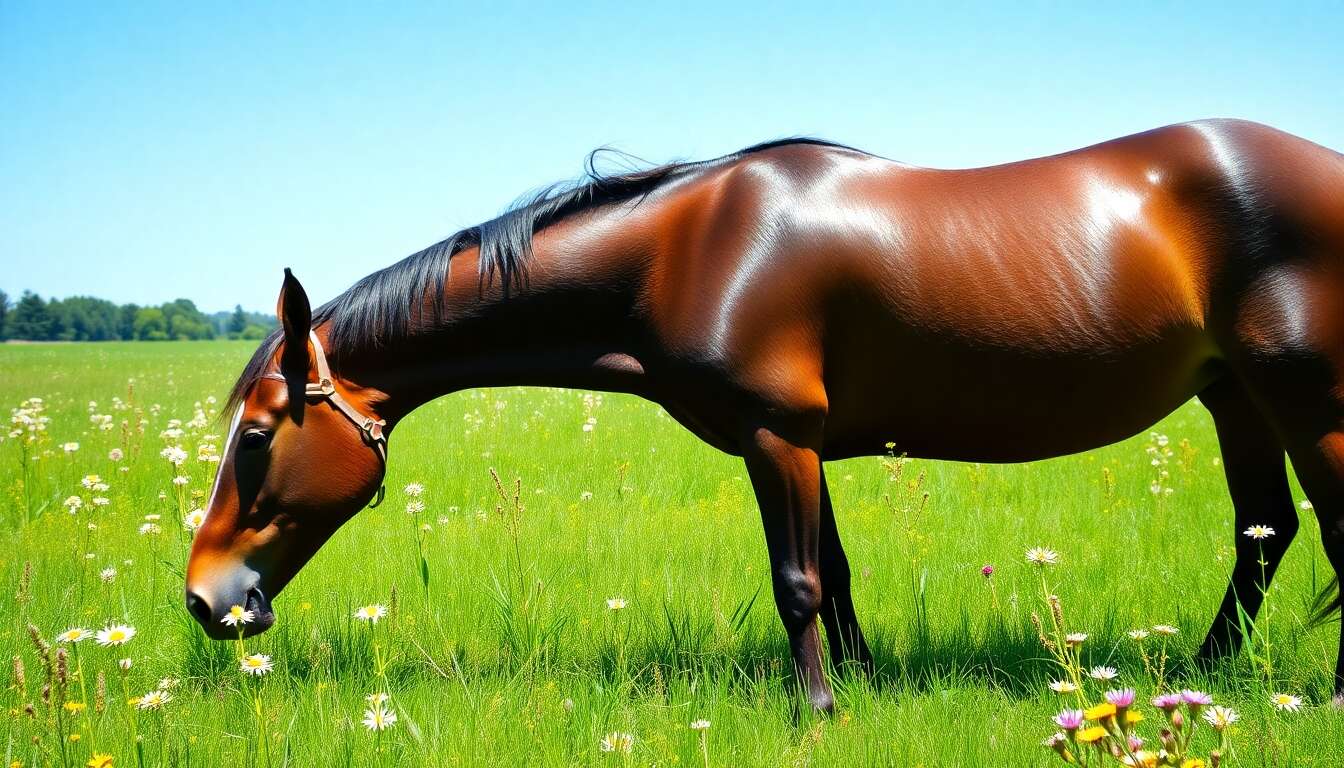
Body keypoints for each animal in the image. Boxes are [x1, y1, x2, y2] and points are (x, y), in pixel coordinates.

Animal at [185, 119, 1344, 712]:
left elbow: (796, 583)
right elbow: (836, 575)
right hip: (1234, 394)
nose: (207, 600)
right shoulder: (807, 442)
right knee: (1265, 533)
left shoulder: (774, 434)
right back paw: (1201, 679)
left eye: (257, 438)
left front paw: (818, 712)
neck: (688, 247)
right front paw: (866, 690)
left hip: (1306, 398)